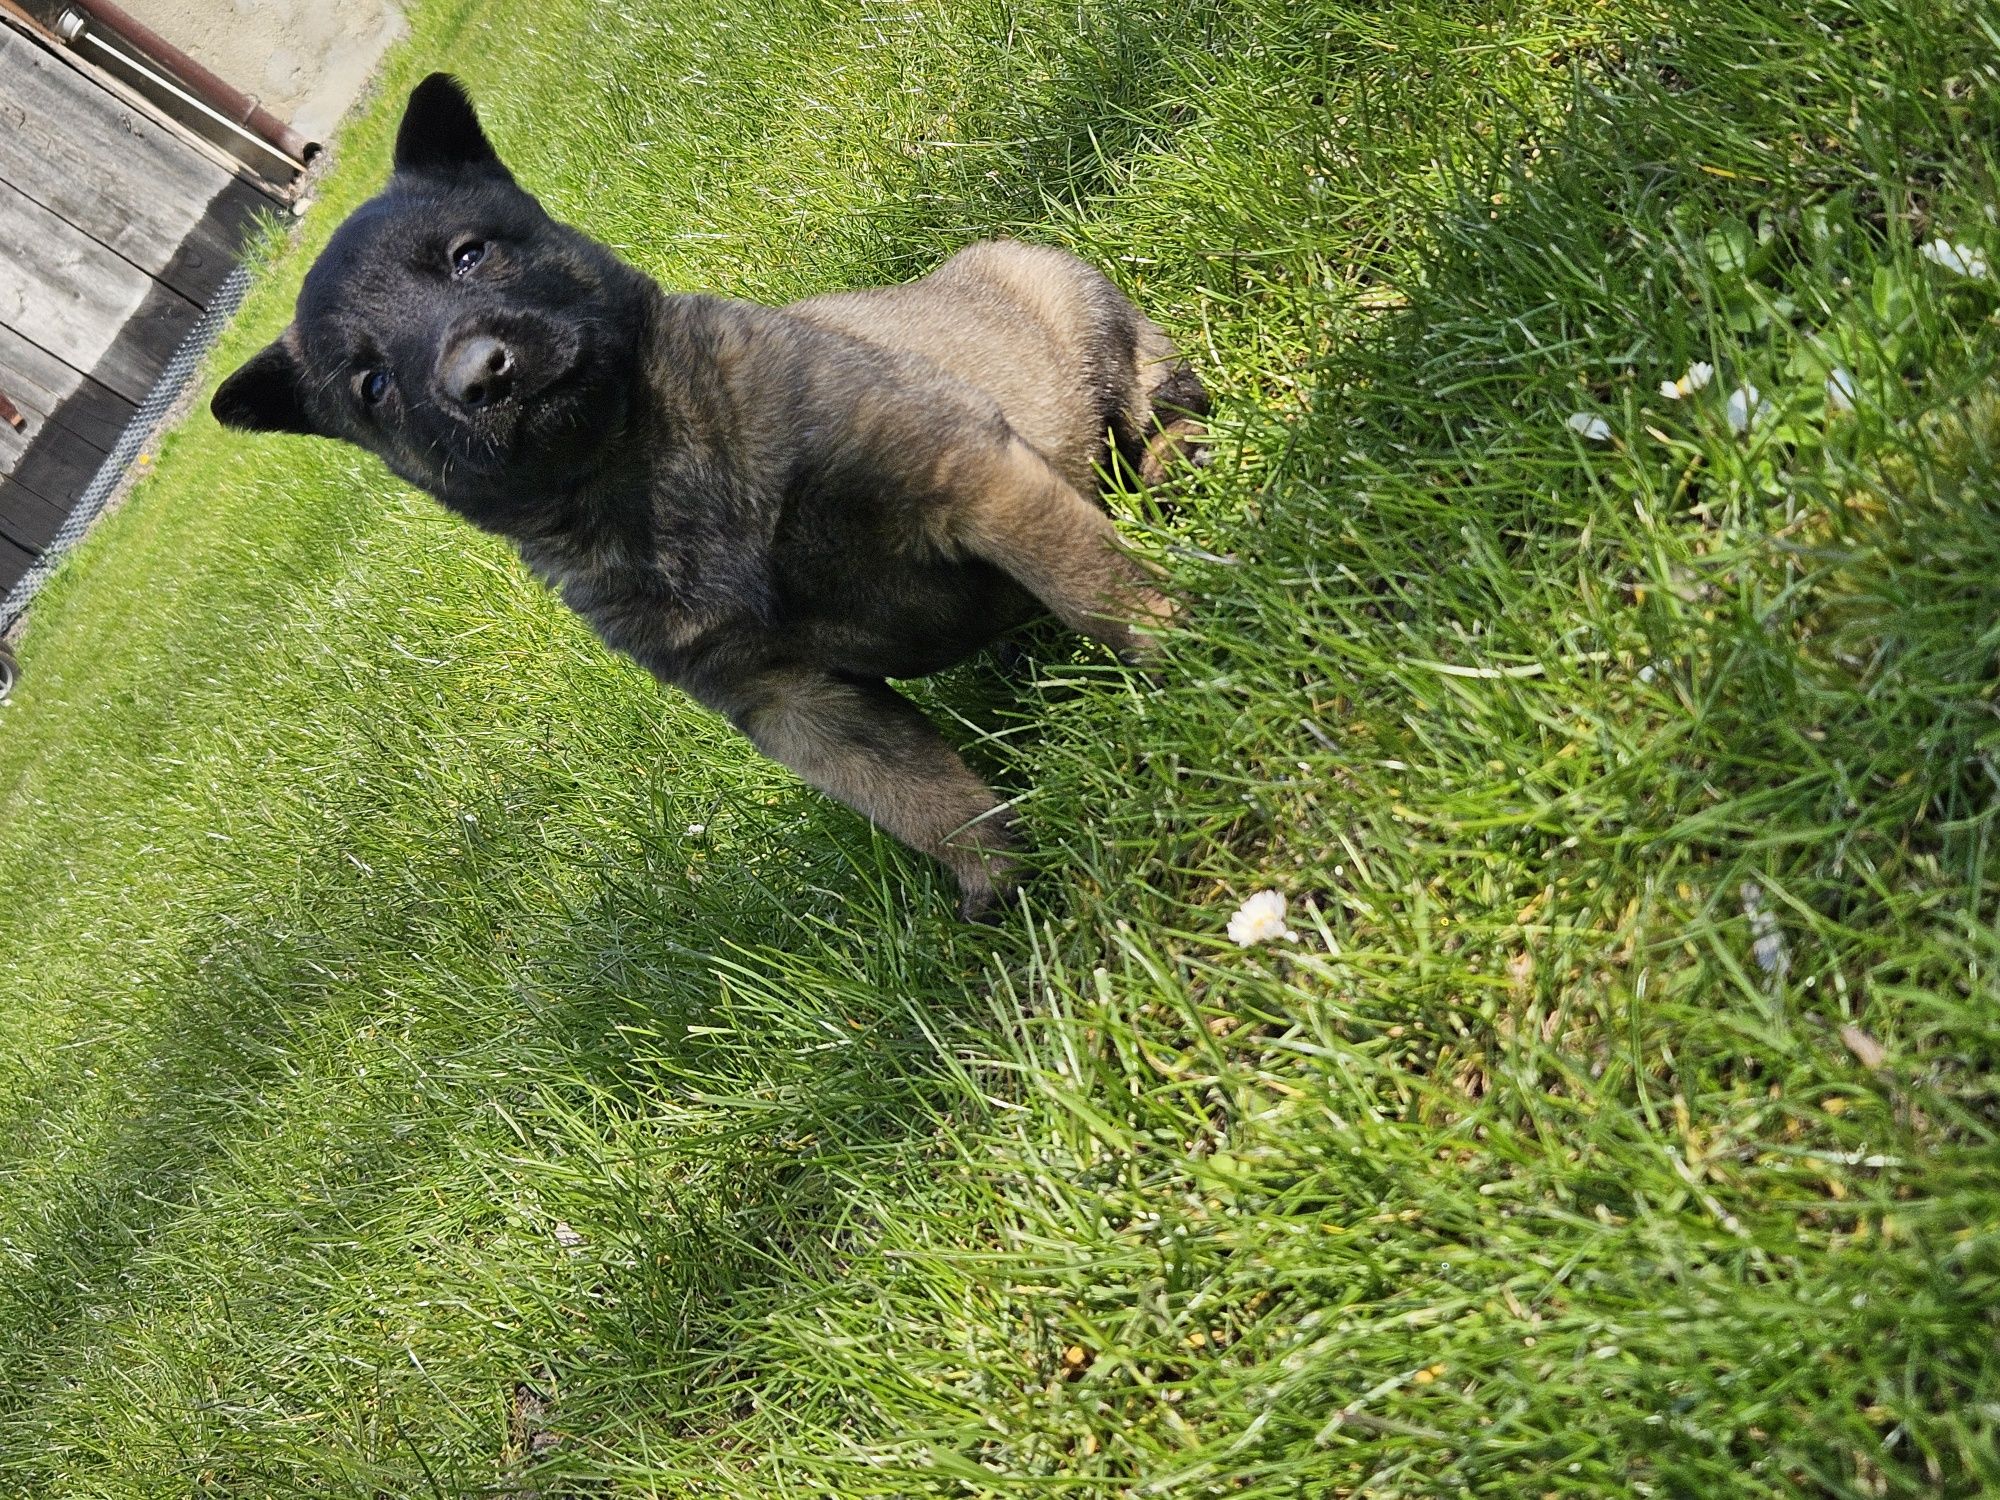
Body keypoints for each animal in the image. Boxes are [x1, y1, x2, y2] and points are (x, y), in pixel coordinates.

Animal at [223, 76, 1216, 924]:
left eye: (469, 255)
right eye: (374, 384)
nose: (481, 378)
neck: (640, 469)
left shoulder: (965, 476)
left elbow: (1098, 586)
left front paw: (1187, 655)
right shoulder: (791, 705)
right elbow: (918, 798)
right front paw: (1001, 879)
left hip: (1086, 327)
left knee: (1157, 404)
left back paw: (1181, 465)